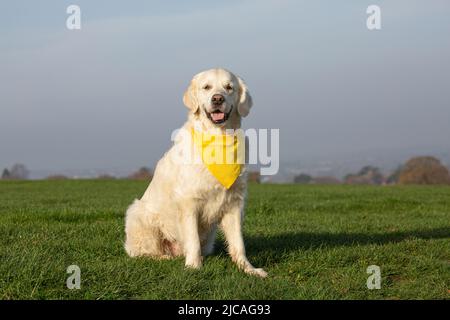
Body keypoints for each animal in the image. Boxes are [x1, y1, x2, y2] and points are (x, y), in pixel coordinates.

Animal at [123, 68, 268, 278]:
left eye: (229, 87)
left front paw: (248, 269)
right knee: (142, 253)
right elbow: (192, 240)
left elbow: (238, 243)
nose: (217, 99)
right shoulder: (189, 202)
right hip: (138, 214)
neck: (218, 138)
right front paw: (193, 267)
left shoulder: (234, 203)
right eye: (206, 87)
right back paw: (164, 257)